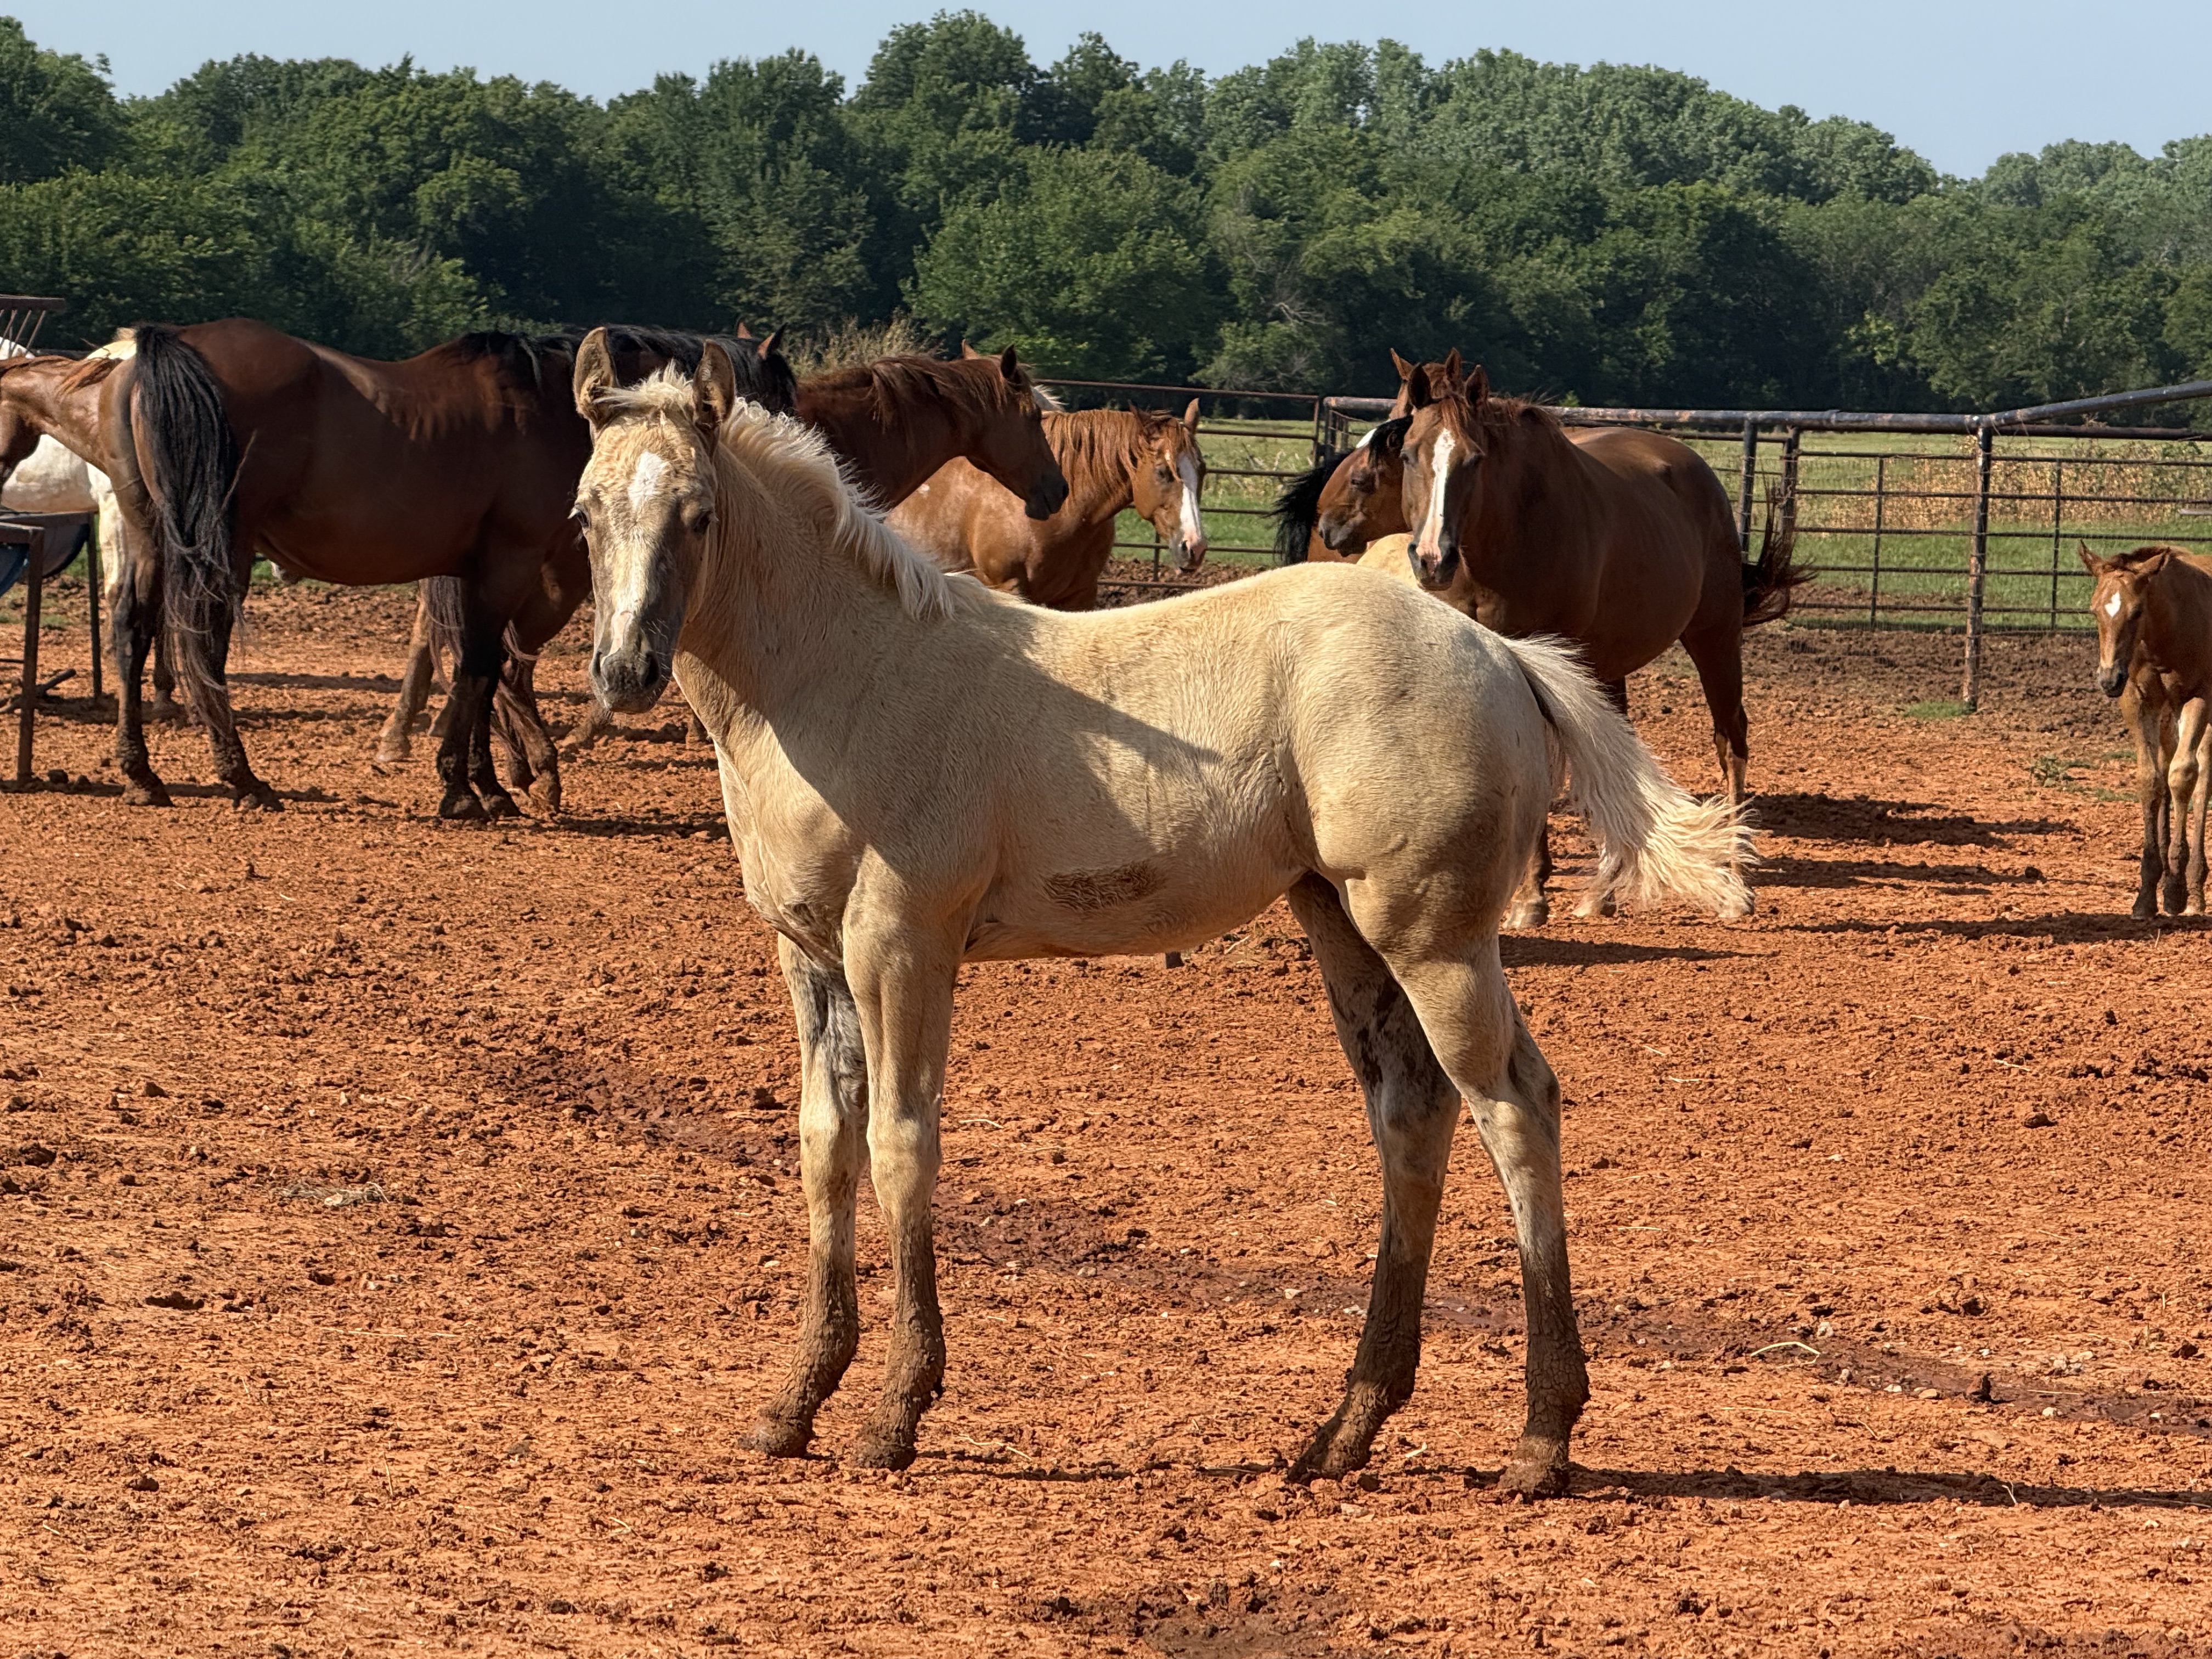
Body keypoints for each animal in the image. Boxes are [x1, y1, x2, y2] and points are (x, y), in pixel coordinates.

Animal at [1395, 351, 1800, 924]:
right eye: (1409, 454)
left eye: (1475, 460)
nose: (1433, 559)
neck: (1507, 535)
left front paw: (1531, 897)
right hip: (1608, 666)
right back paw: (1604, 889)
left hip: (1715, 637)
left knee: (1731, 740)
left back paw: (1737, 881)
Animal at [2081, 543, 2212, 916]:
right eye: (2094, 610)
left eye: (2137, 611)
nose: (2108, 678)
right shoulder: (2137, 701)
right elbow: (2151, 780)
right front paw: (2148, 892)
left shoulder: (2200, 696)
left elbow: (2184, 776)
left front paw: (2178, 890)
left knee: (2202, 778)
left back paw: (2195, 886)